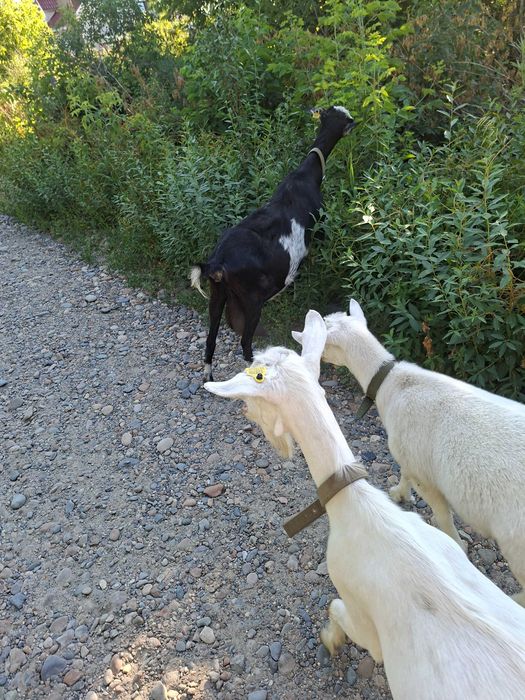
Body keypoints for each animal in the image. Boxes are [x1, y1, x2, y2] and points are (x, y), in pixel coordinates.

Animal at [190, 106, 355, 380]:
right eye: (344, 118)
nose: (354, 123)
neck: (307, 175)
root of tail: (217, 262)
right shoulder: (319, 228)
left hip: (217, 294)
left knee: (211, 339)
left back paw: (208, 376)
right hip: (252, 299)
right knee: (245, 342)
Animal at [298, 299, 525, 605]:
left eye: (324, 340)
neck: (393, 382)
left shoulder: (425, 474)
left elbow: (443, 517)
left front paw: (456, 546)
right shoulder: (408, 453)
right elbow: (404, 473)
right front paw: (399, 494)